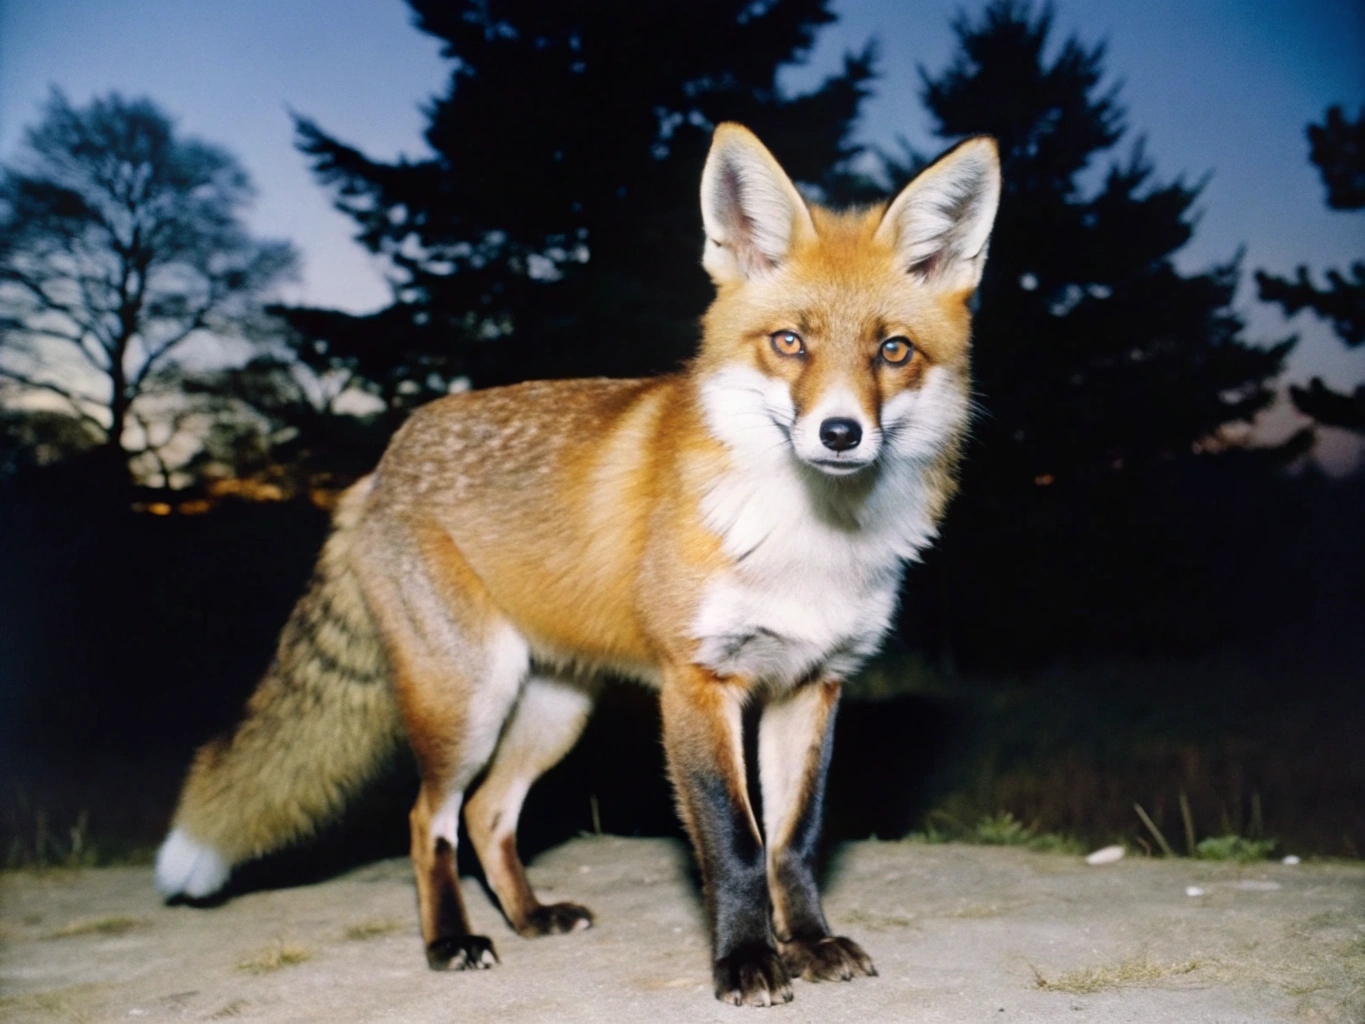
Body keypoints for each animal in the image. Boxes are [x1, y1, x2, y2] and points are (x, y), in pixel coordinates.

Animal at [155, 123, 1000, 1007]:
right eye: (789, 343)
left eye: (892, 351)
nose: (839, 434)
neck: (808, 542)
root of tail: (380, 467)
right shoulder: (697, 683)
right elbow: (735, 845)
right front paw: (744, 960)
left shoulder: (810, 685)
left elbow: (792, 839)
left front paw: (806, 942)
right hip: (467, 700)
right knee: (430, 820)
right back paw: (451, 940)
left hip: (553, 710)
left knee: (488, 814)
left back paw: (530, 918)